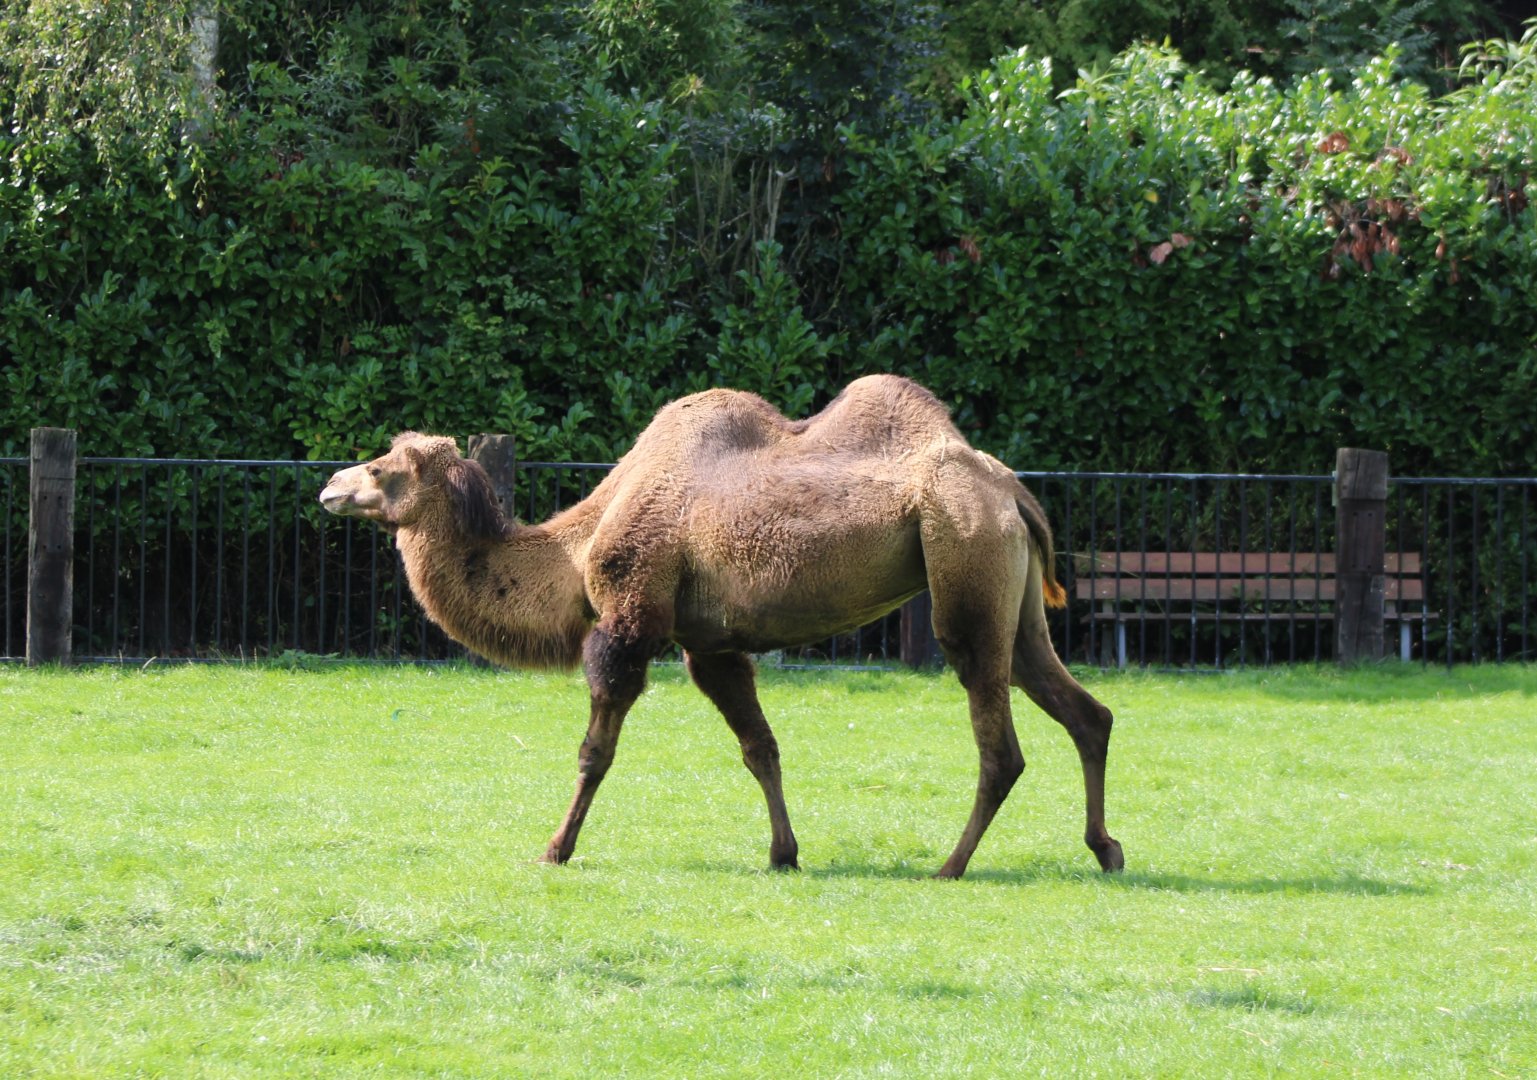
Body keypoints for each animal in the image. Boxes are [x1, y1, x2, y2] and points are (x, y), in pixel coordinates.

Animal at [319, 374, 1123, 877]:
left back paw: (949, 865)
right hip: (1009, 590)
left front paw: (555, 848)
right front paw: (783, 854)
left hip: (963, 562)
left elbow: (594, 752)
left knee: (999, 744)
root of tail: (1010, 487)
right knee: (1085, 710)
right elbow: (760, 748)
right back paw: (1105, 847)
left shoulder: (630, 615)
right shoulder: (711, 646)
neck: (577, 544)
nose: (328, 485)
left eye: (380, 466)